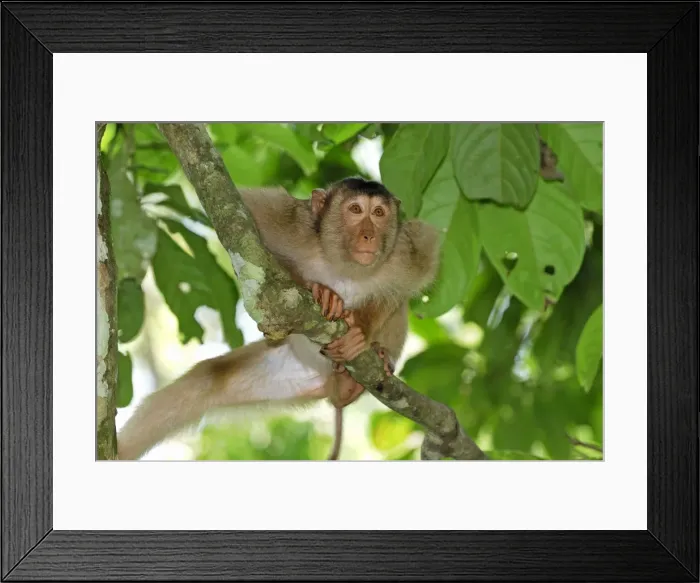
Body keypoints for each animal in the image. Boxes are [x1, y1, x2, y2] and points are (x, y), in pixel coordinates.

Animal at [116, 177, 440, 461]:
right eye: (356, 210)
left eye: (379, 213)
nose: (369, 235)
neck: (344, 266)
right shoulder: (291, 223)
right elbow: (240, 228)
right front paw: (320, 291)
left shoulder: (406, 251)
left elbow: (408, 282)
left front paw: (361, 328)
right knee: (207, 379)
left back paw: (368, 366)